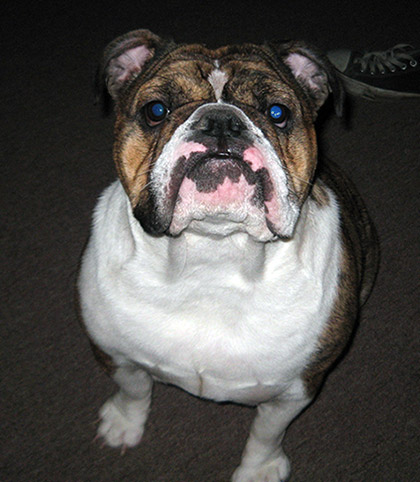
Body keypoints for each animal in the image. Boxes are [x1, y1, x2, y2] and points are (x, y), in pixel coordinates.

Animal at [78, 29, 379, 481]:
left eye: (277, 112)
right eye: (156, 110)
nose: (221, 121)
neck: (212, 255)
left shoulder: (295, 390)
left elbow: (266, 433)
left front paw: (258, 470)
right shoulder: (115, 354)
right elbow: (133, 390)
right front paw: (124, 424)